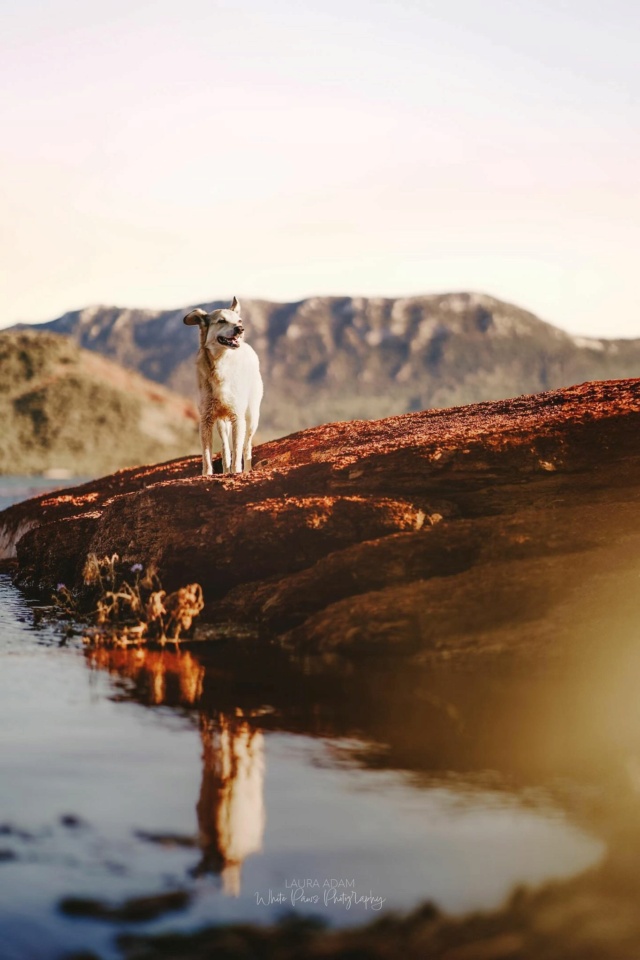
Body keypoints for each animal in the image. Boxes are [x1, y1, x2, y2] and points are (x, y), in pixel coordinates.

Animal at [184, 292, 264, 472]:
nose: (240, 329)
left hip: (252, 417)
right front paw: (207, 475)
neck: (221, 365)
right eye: (221, 321)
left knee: (246, 447)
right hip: (222, 423)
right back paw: (226, 469)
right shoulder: (206, 419)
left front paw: (237, 472)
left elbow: (238, 452)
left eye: (239, 321)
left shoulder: (237, 417)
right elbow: (207, 457)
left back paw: (246, 469)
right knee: (225, 448)